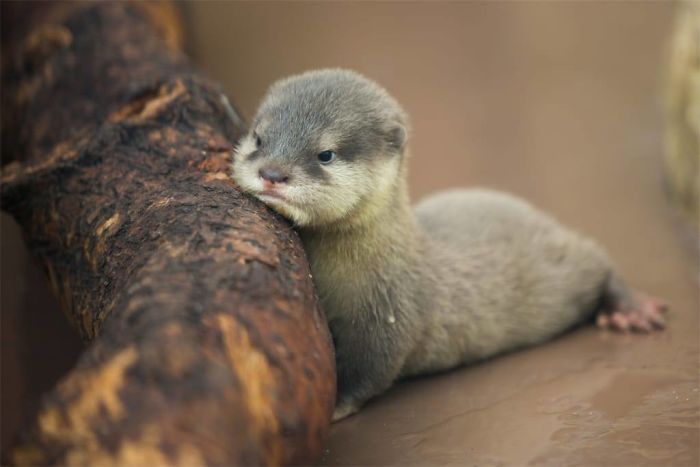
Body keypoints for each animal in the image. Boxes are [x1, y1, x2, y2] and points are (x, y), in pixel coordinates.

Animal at [231, 68, 668, 421]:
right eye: (258, 137)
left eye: (325, 154)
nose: (272, 173)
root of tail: (540, 215)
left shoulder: (391, 316)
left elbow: (370, 370)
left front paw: (335, 407)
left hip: (565, 266)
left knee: (599, 257)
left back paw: (630, 310)